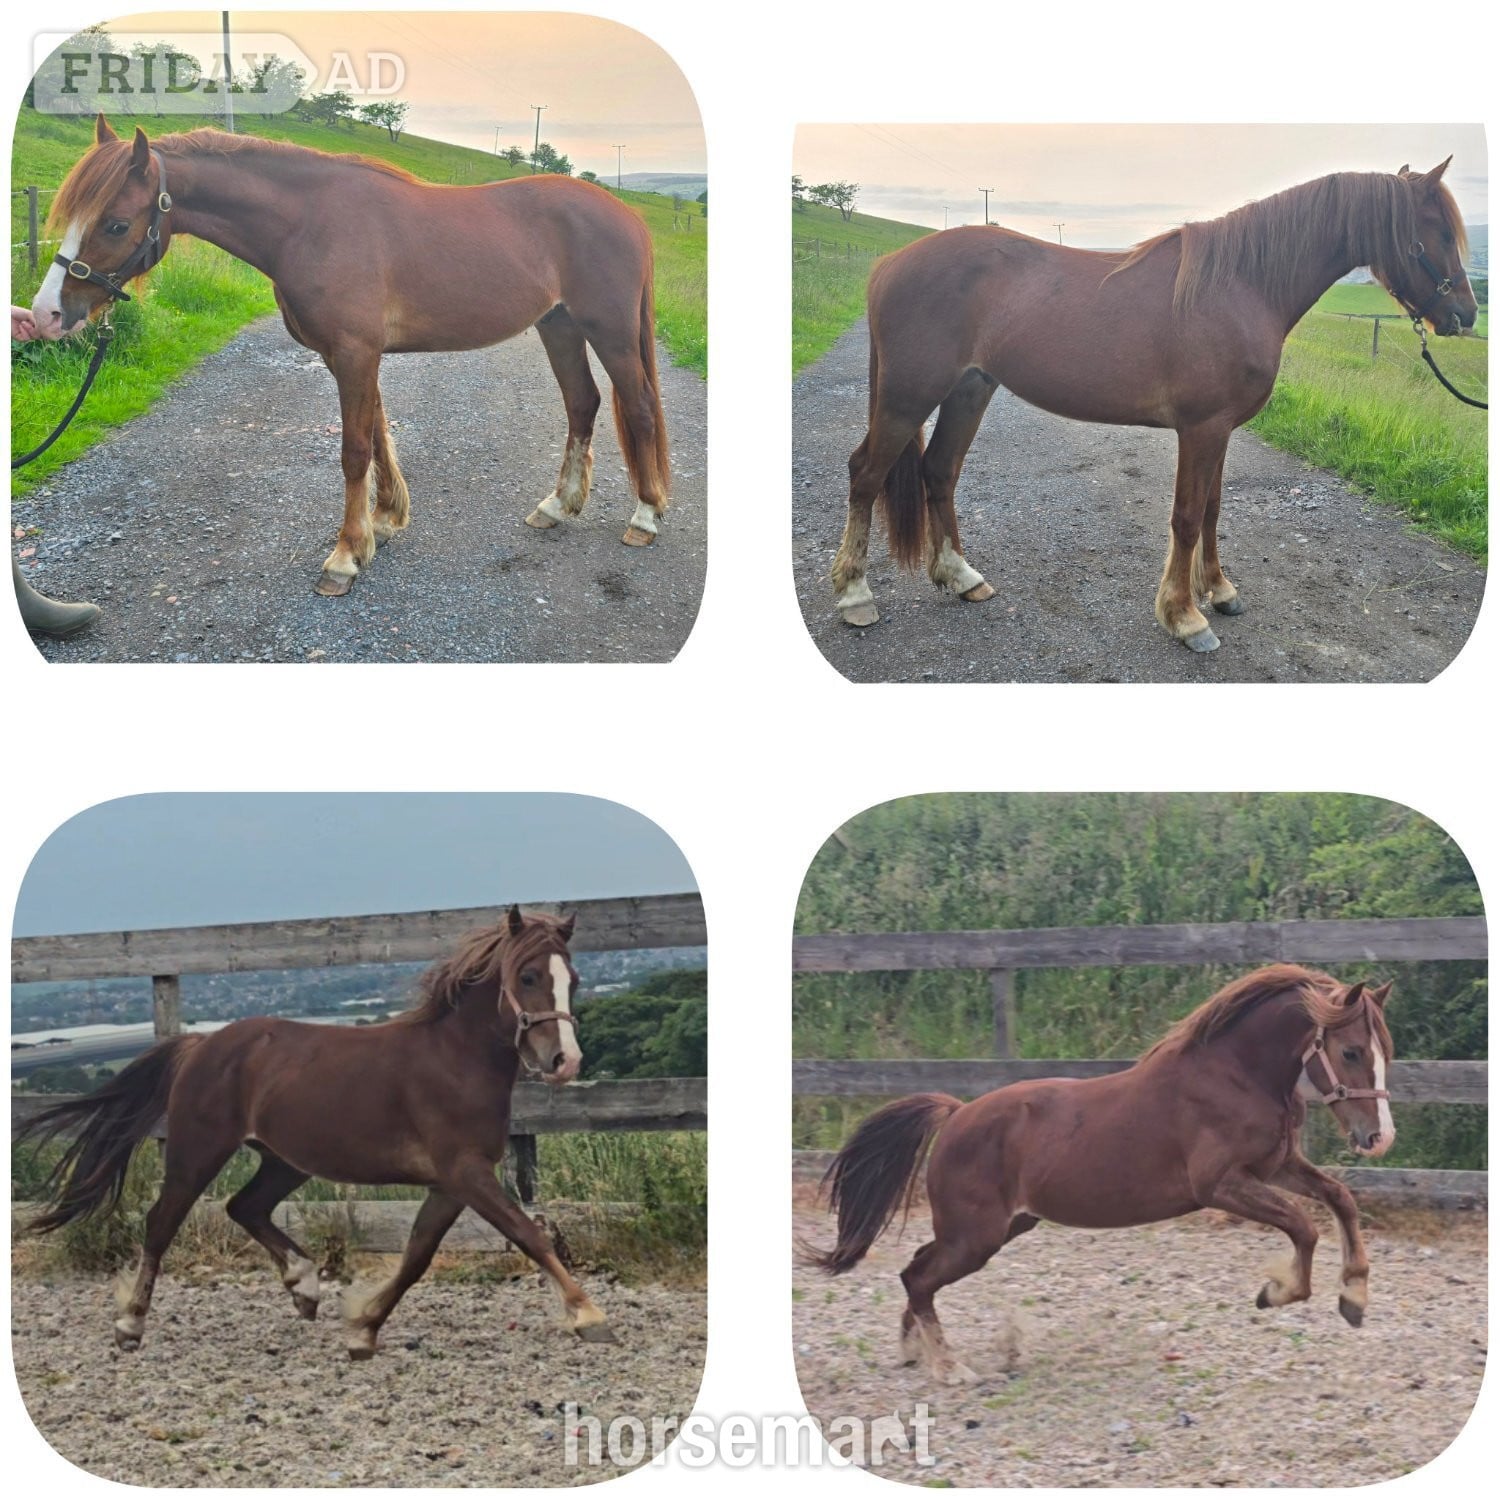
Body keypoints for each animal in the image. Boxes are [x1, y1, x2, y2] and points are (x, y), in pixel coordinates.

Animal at [18, 906, 617, 1359]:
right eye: (528, 977)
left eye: (573, 980)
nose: (565, 1061)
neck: (455, 1062)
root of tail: (201, 1043)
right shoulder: (465, 1172)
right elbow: (528, 1233)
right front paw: (589, 1316)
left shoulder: (450, 1184)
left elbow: (418, 1256)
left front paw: (363, 1330)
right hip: (198, 1150)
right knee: (162, 1221)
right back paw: (131, 1325)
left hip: (285, 1159)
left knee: (245, 1206)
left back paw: (304, 1287)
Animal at [28, 116, 671, 596]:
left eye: (116, 224)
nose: (46, 315)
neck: (311, 223)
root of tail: (628, 216)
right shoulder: (351, 357)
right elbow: (380, 435)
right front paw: (380, 525)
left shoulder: (356, 353)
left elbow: (355, 449)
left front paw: (342, 557)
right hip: (558, 325)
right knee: (582, 404)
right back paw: (558, 506)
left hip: (609, 331)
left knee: (636, 405)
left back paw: (645, 516)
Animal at [805, 965, 1395, 1384]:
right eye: (1350, 1051)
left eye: (1385, 1051)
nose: (1379, 1138)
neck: (1234, 1076)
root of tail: (955, 1114)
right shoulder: (1221, 1185)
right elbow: (1304, 1227)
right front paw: (1276, 1293)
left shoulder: (1275, 1167)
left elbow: (1338, 1199)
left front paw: (1354, 1298)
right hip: (975, 1236)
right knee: (918, 1278)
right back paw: (950, 1369)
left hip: (998, 1228)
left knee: (917, 1271)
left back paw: (915, 1352)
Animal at [830, 160, 1477, 651]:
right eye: (1440, 233)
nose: (1465, 316)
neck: (1240, 286)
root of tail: (890, 264)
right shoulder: (1201, 428)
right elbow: (1187, 516)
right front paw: (1185, 617)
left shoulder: (1222, 430)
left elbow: (1213, 509)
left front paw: (1219, 591)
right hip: (907, 397)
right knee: (866, 474)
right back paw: (855, 594)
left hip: (970, 389)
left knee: (939, 472)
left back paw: (963, 578)